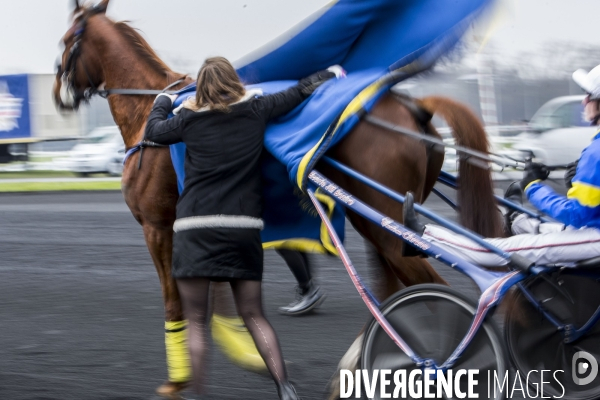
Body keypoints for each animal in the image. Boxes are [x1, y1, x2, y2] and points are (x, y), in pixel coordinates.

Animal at [54, 1, 502, 398]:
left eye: (65, 40)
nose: (58, 92)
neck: (150, 110)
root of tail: (414, 106)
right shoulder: (202, 227)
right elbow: (218, 297)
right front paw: (247, 350)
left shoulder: (157, 226)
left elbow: (175, 304)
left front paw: (179, 381)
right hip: (378, 223)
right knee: (389, 289)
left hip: (385, 224)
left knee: (429, 289)